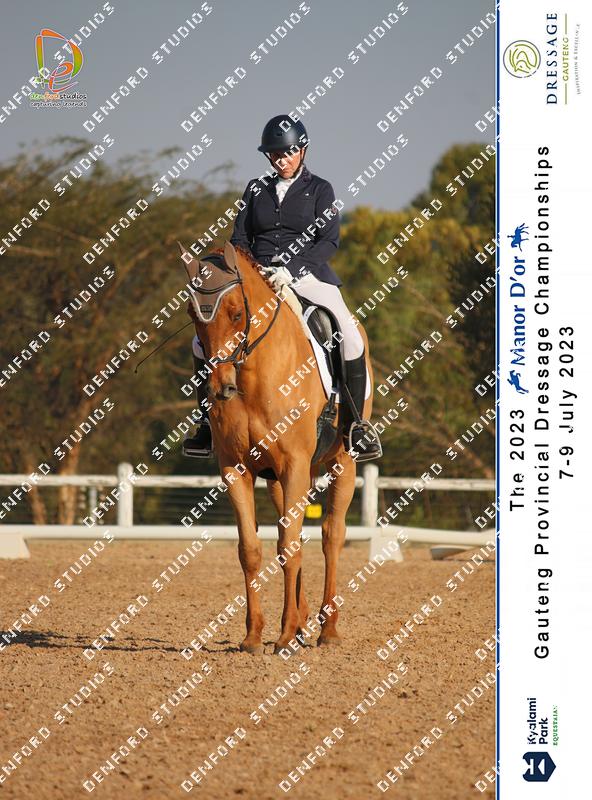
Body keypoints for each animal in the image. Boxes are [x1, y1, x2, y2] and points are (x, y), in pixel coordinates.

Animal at [179, 241, 374, 654]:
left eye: (237, 312)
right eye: (193, 315)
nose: (220, 388)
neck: (253, 377)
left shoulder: (296, 465)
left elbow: (289, 546)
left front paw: (283, 636)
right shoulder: (236, 469)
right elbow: (252, 549)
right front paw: (254, 635)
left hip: (342, 463)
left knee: (332, 536)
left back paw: (326, 629)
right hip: (278, 480)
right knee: (298, 535)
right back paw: (302, 624)